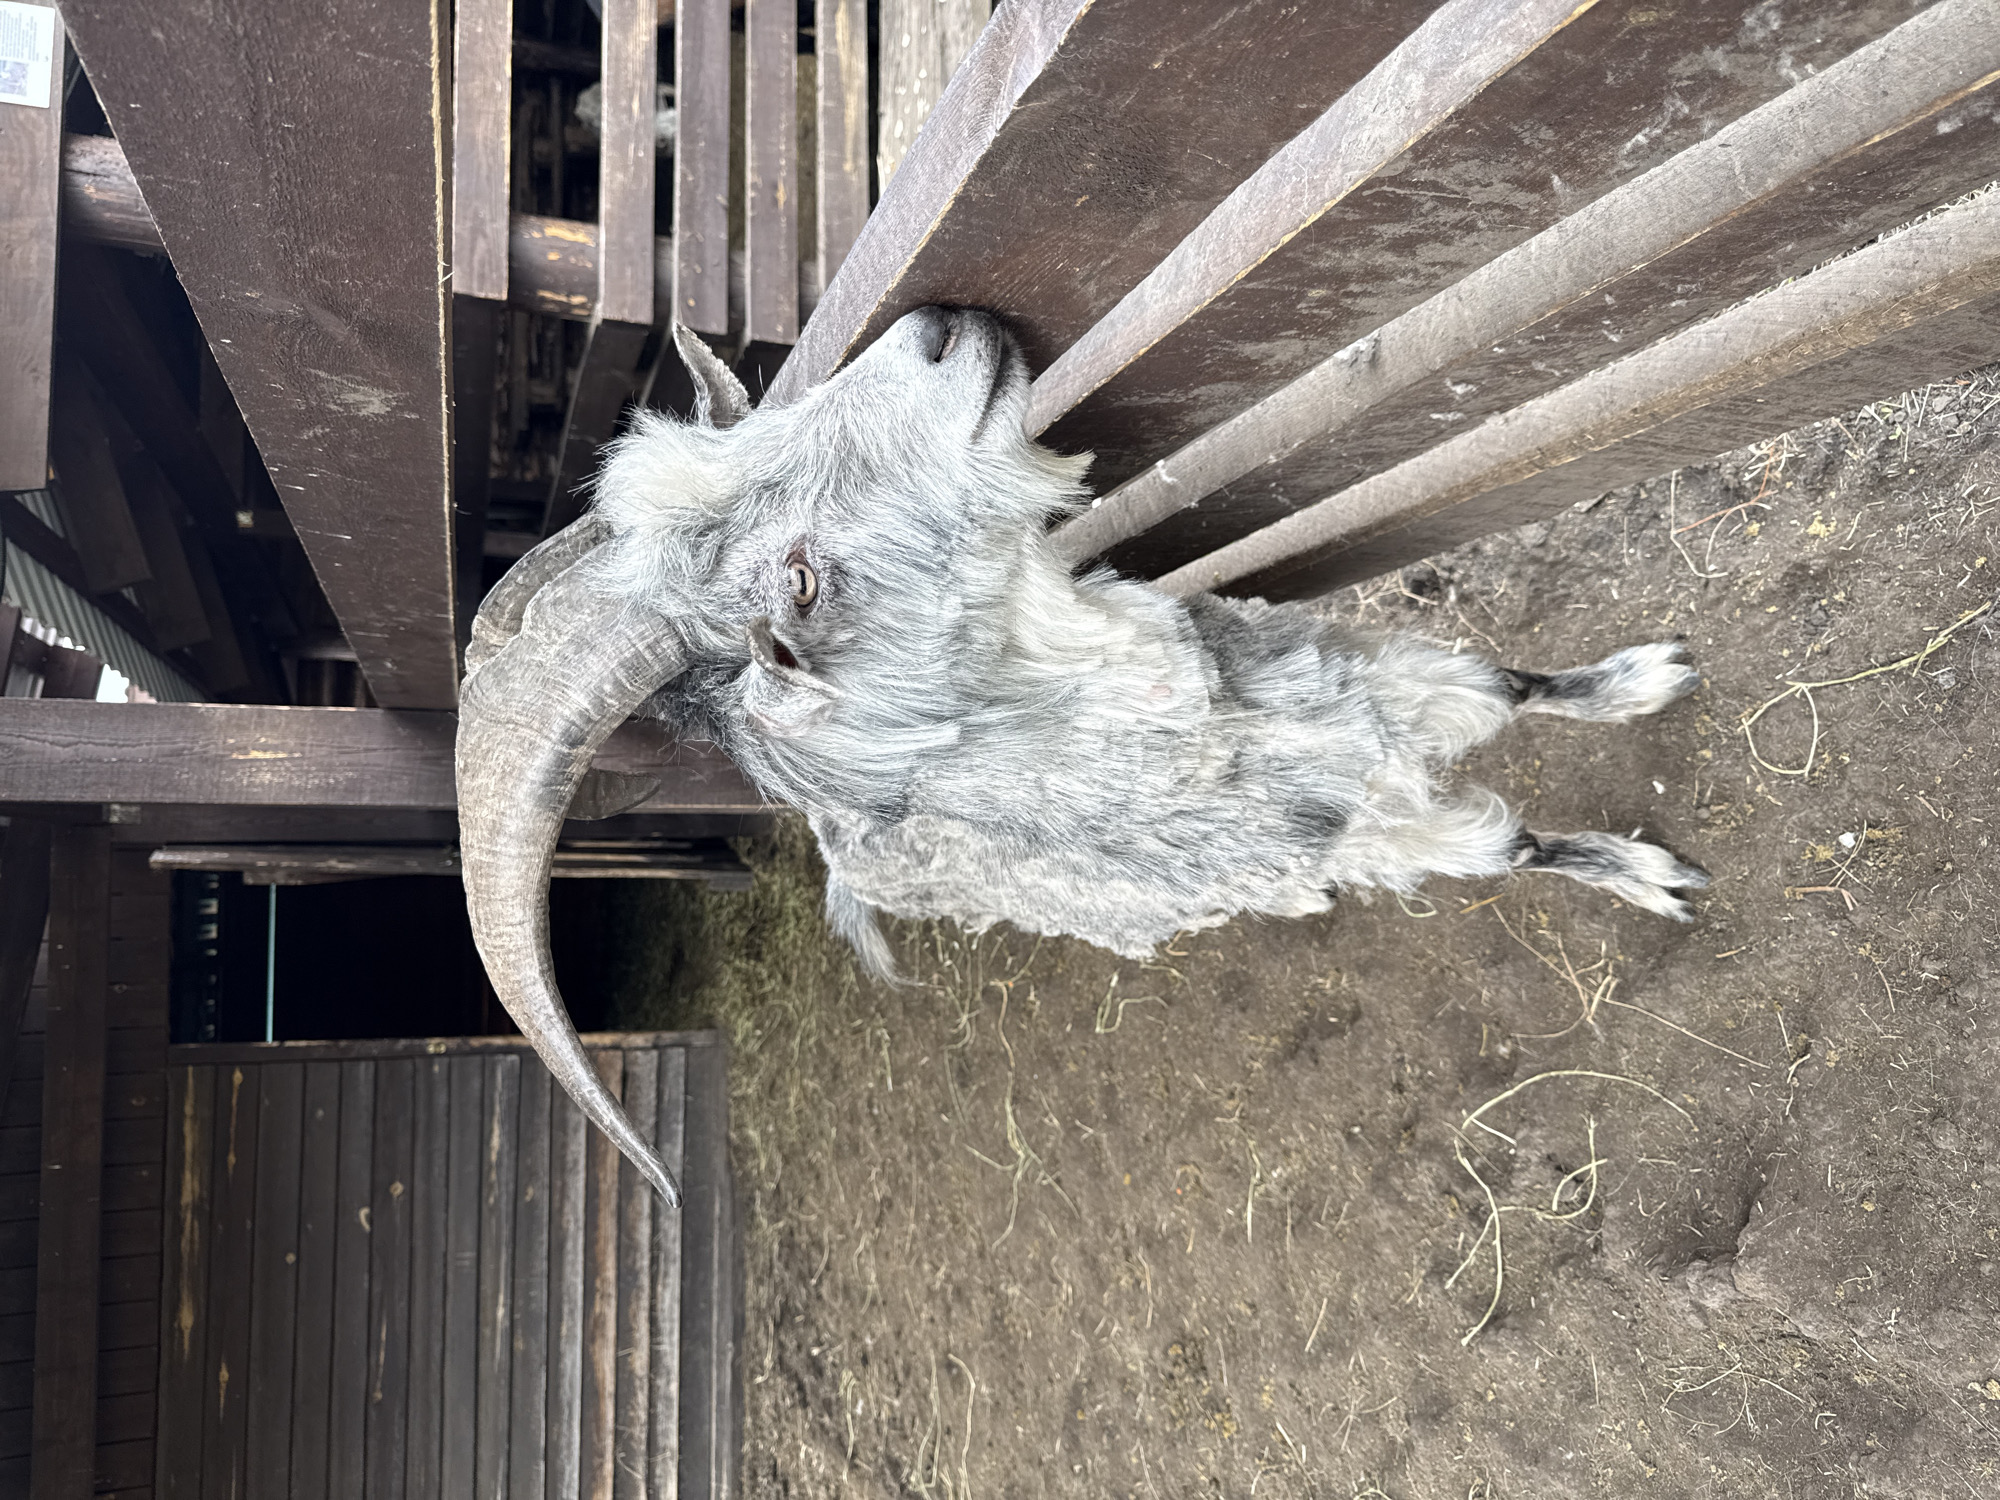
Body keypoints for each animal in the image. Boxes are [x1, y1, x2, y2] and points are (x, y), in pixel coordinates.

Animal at [455, 309, 1707, 1201]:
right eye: (799, 582)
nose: (937, 327)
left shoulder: (1352, 667)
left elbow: (1507, 684)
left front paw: (1637, 680)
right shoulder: (1371, 839)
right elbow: (1510, 847)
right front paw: (1653, 879)